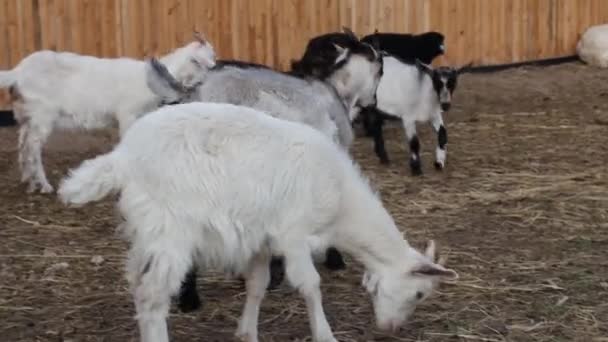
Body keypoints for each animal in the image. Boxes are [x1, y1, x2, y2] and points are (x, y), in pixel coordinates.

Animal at [0, 32, 216, 194]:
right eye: (207, 59)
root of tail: (18, 72)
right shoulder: (128, 114)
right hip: (42, 114)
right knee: (33, 146)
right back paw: (44, 185)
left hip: (26, 115)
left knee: (23, 143)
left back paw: (28, 182)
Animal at [58, 101, 460, 342]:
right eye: (419, 293)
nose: (391, 329)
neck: (341, 202)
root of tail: (122, 156)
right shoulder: (293, 234)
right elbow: (310, 285)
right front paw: (325, 334)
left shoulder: (262, 238)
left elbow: (257, 285)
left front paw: (246, 332)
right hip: (171, 230)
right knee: (152, 295)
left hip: (148, 232)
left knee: (137, 284)